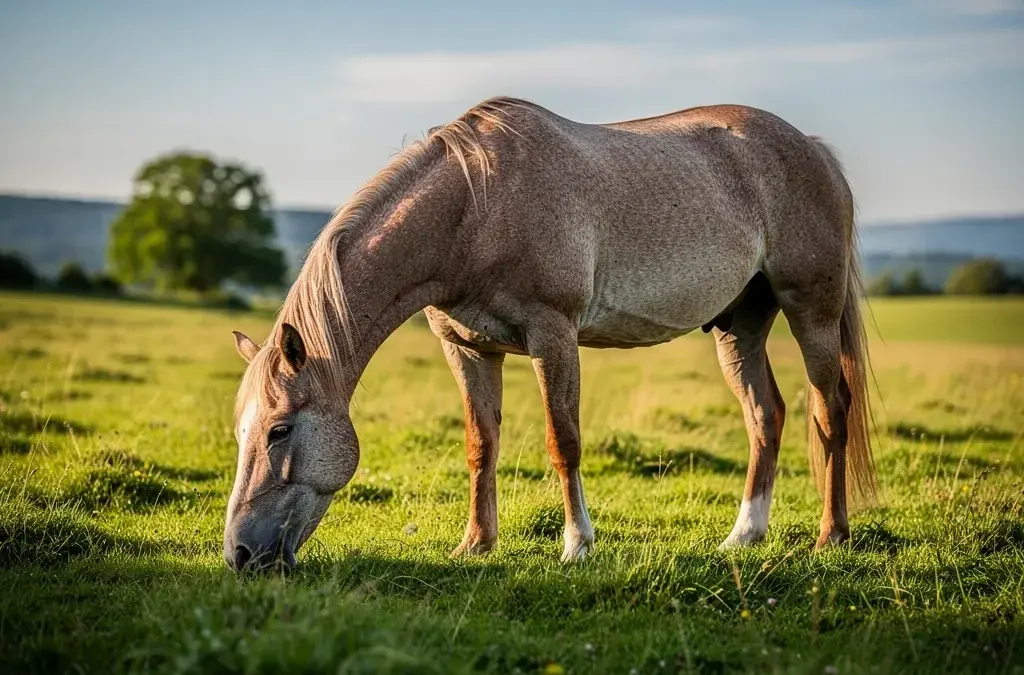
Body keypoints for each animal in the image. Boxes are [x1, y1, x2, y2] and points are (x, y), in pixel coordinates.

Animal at [223, 96, 877, 572]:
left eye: (280, 430)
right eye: (242, 431)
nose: (240, 554)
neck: (477, 206)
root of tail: (812, 149)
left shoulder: (552, 336)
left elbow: (564, 442)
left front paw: (577, 545)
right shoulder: (468, 349)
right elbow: (480, 445)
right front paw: (475, 544)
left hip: (811, 312)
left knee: (830, 410)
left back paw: (831, 536)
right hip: (740, 327)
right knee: (766, 415)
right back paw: (744, 535)